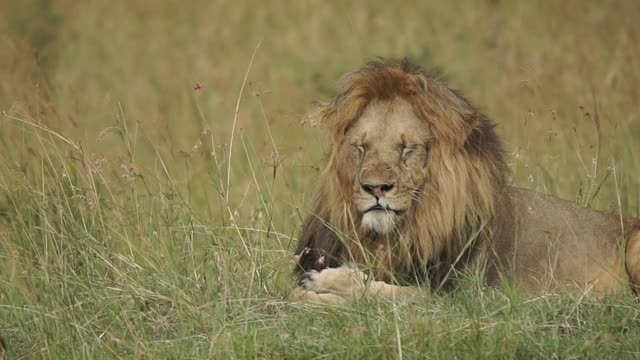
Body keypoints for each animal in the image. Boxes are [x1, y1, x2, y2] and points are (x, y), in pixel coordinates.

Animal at [290, 58, 640, 304]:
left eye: (407, 148)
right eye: (361, 147)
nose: (376, 188)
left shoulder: (463, 296)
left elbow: (393, 292)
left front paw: (328, 284)